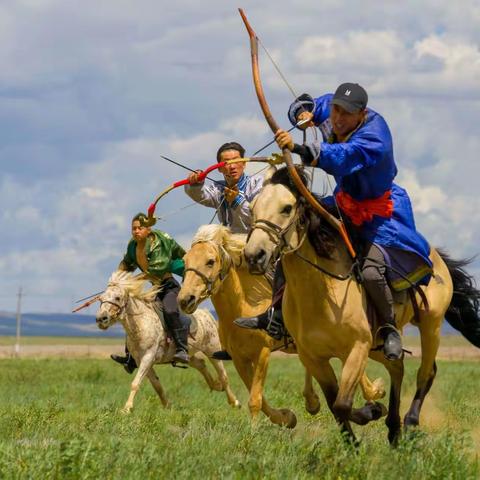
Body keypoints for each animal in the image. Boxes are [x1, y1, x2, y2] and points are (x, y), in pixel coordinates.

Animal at [95, 270, 240, 412]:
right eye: (101, 299)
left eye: (117, 298)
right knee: (201, 364)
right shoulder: (142, 360)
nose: (101, 319)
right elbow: (157, 385)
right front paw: (168, 406)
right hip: (188, 355)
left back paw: (234, 401)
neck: (142, 323)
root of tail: (207, 314)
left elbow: (136, 383)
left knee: (223, 375)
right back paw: (216, 385)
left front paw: (127, 408)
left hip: (212, 350)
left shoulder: (148, 357)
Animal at [178, 224, 384, 428]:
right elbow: (259, 398)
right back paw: (314, 401)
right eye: (185, 261)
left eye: (210, 261)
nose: (185, 299)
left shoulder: (262, 353)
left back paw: (372, 392)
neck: (242, 308)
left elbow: (255, 398)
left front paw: (254, 430)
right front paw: (285, 418)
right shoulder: (239, 359)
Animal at [244, 167, 480, 444]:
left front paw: (371, 412)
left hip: (430, 324)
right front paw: (357, 434)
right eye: (254, 207)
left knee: (426, 371)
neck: (322, 293)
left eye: (287, 207)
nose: (254, 255)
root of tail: (437, 258)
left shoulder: (357, 347)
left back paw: (409, 423)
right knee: (397, 365)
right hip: (379, 343)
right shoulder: (313, 357)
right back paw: (393, 428)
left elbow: (342, 404)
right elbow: (334, 402)